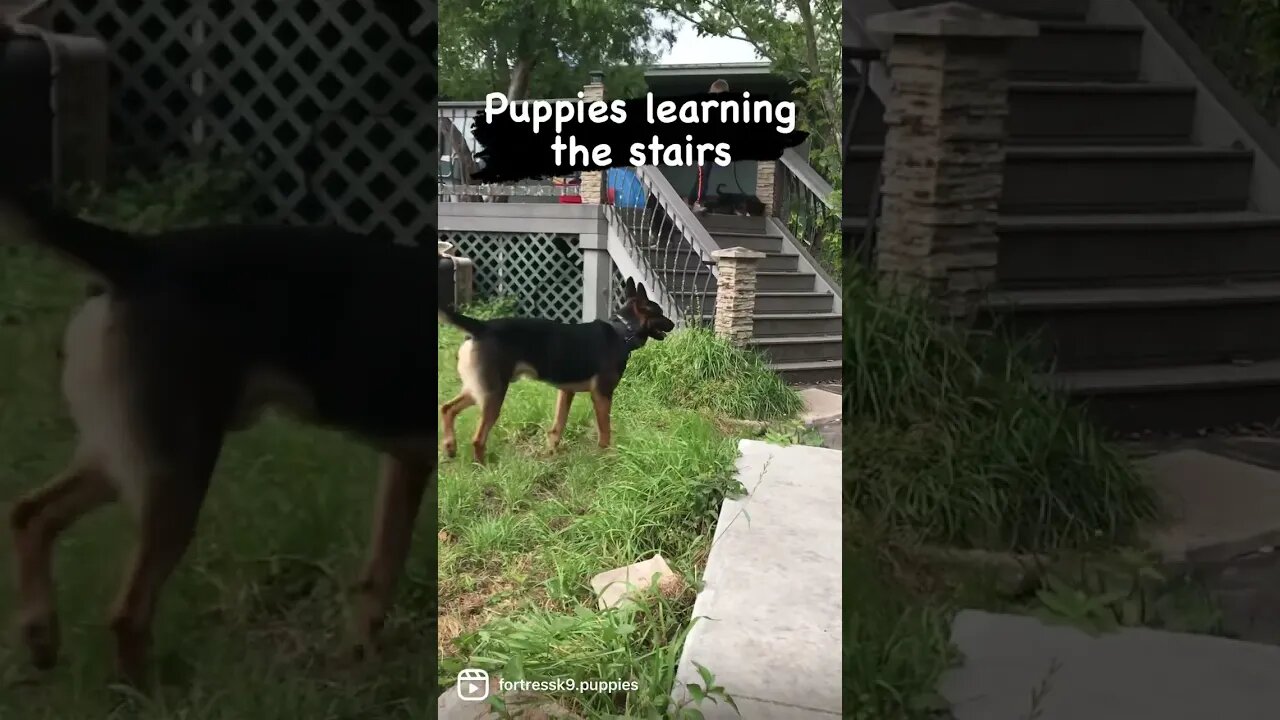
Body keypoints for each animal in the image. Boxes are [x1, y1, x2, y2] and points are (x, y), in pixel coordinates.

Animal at [0, 189, 437, 681]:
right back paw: (145, 689)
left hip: (127, 455)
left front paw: (360, 661)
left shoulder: (407, 463)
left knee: (30, 514)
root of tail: (143, 254)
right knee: (128, 613)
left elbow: (381, 571)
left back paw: (41, 636)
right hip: (178, 471)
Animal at [440, 278, 675, 461]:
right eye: (660, 313)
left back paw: (450, 447)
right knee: (477, 438)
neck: (622, 331)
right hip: (493, 393)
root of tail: (482, 327)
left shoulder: (566, 391)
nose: (673, 324)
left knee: (447, 408)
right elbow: (605, 431)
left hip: (479, 389)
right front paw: (606, 457)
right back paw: (483, 466)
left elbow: (557, 427)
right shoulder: (602, 395)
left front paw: (550, 454)